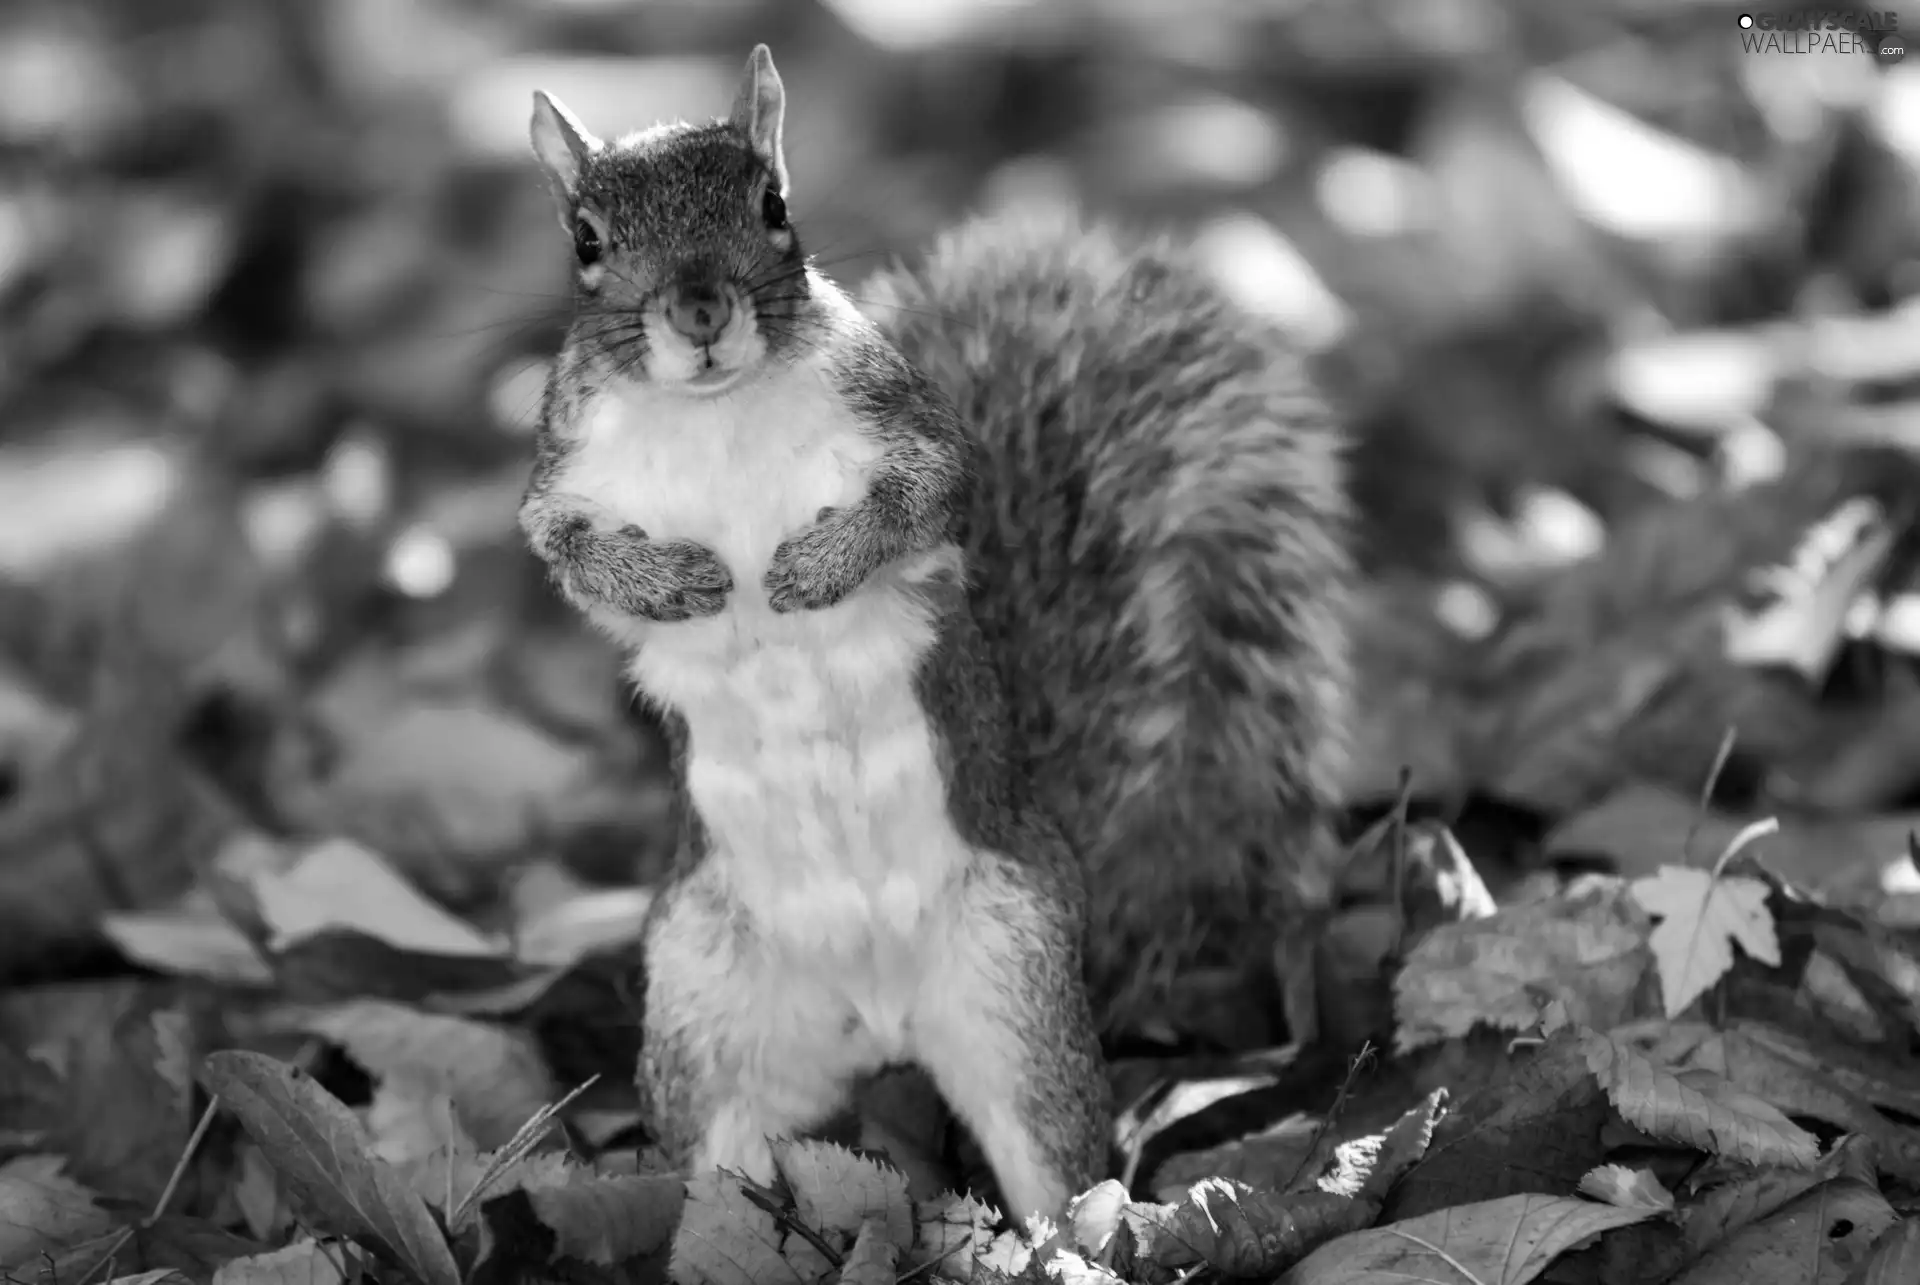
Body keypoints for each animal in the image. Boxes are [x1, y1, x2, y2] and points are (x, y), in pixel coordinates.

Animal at [510, 42, 1351, 1221]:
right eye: (586, 241)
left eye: (774, 205)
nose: (700, 310)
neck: (718, 415)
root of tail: (879, 1020)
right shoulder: (565, 480)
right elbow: (569, 555)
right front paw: (675, 582)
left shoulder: (911, 431)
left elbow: (926, 501)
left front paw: (813, 569)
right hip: (698, 1005)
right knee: (715, 1167)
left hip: (1016, 978)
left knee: (1052, 1152)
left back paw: (1071, 1237)